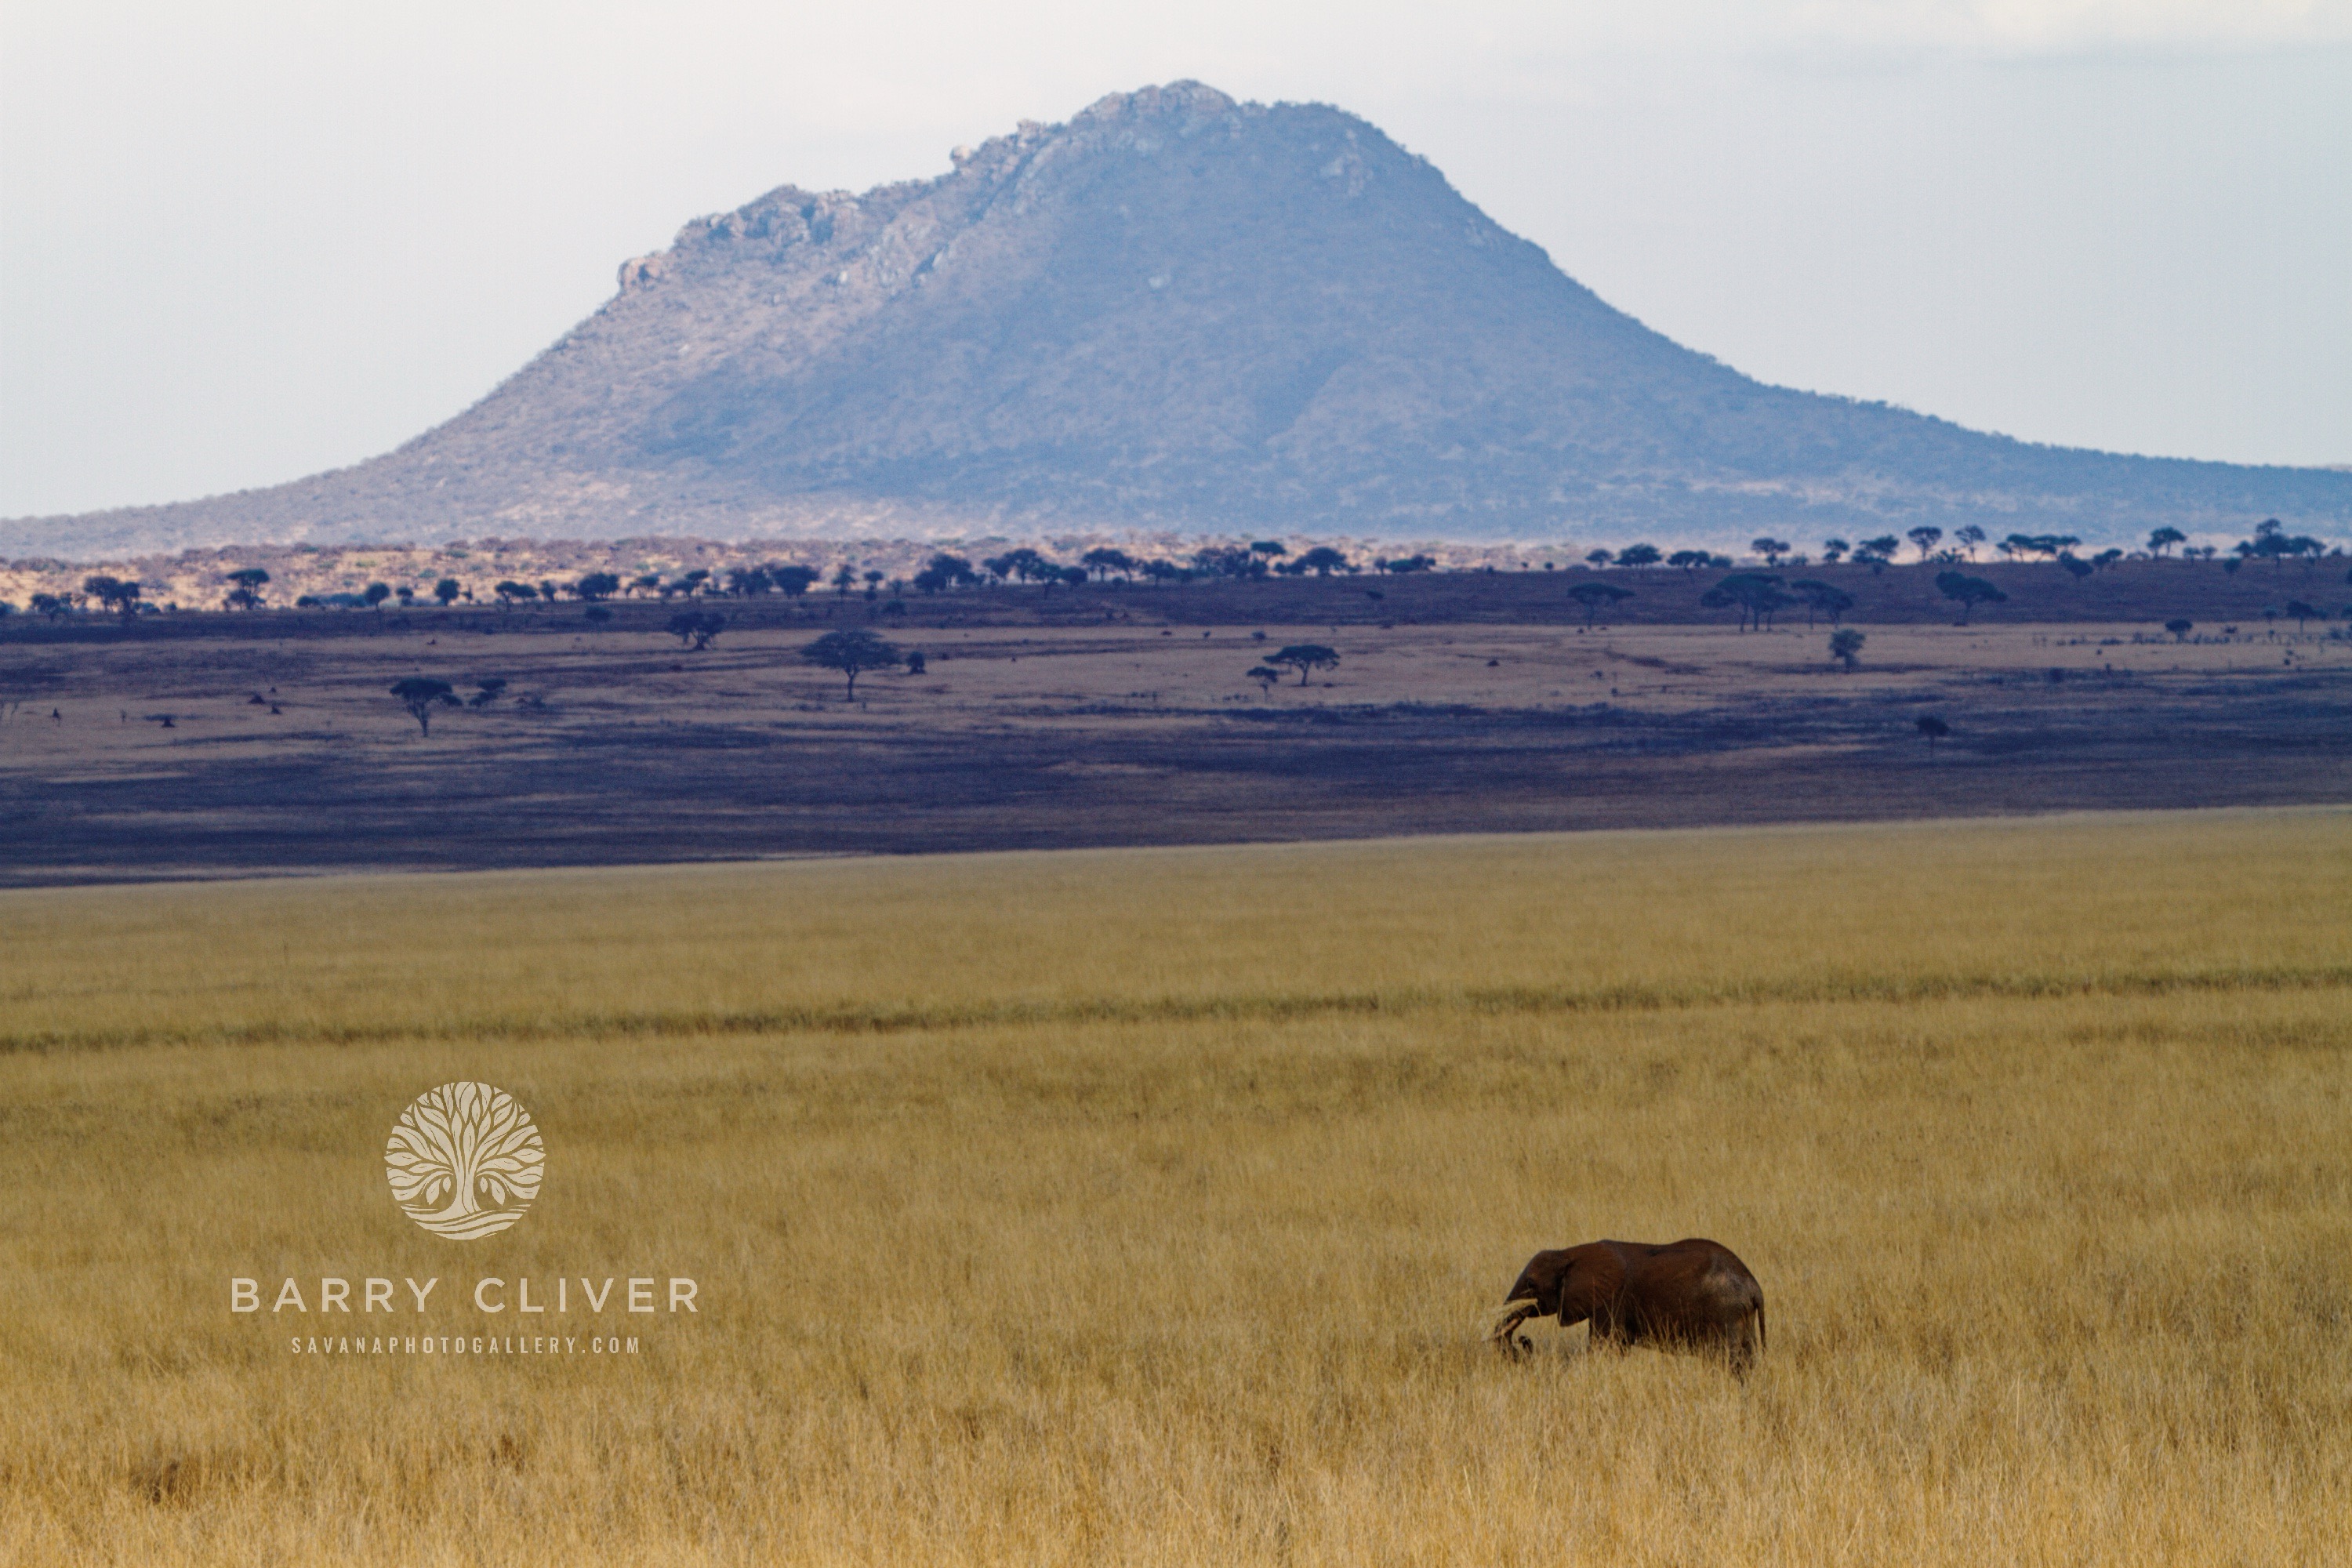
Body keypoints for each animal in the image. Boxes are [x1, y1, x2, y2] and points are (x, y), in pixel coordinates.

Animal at [1496, 1232, 1759, 1363]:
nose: (1523, 1341)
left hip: (1725, 1313)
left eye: (1531, 1284)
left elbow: (1604, 1346)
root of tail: (1754, 1287)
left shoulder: (1611, 1300)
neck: (1568, 1253)